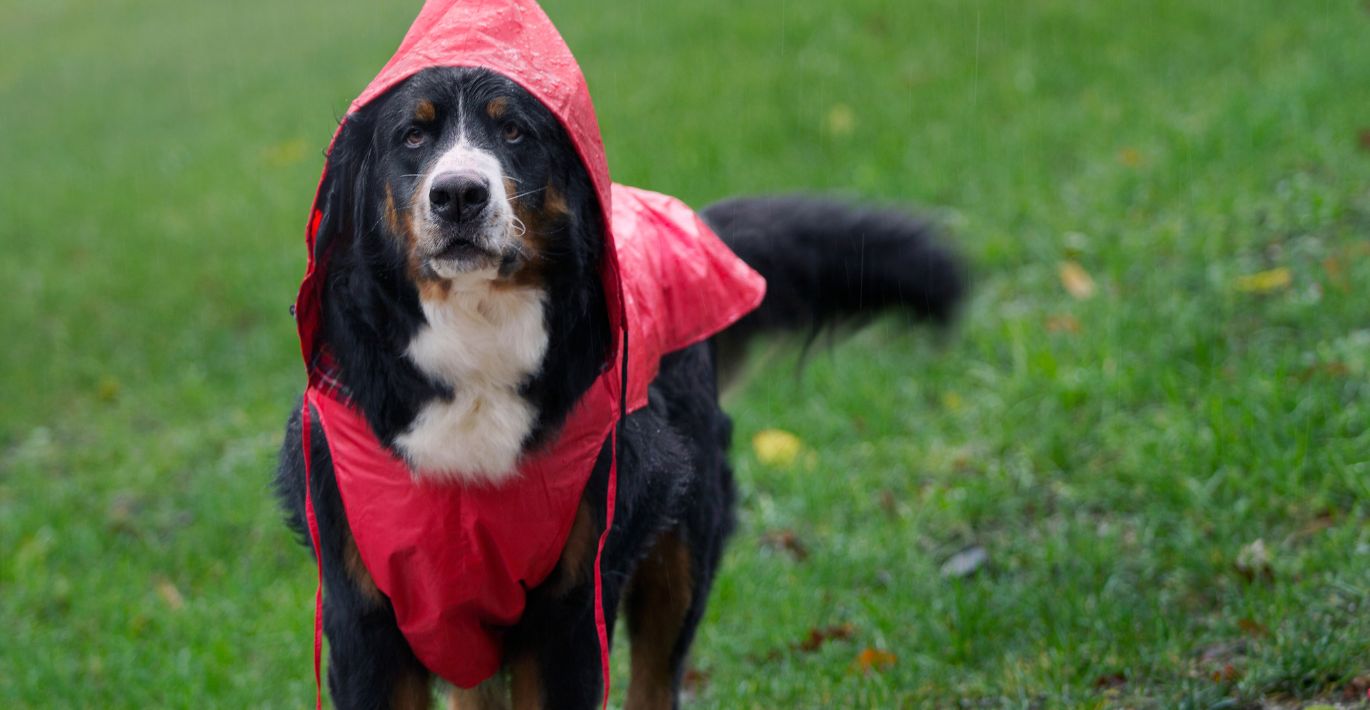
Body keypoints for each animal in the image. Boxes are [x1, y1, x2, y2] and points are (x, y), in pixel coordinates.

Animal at [272, 65, 969, 707]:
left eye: (513, 130)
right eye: (413, 135)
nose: (459, 194)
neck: (475, 343)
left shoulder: (571, 608)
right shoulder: (366, 617)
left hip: (681, 546)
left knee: (656, 677)